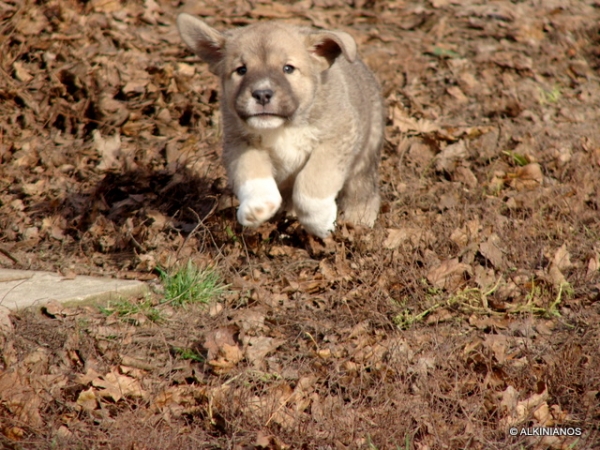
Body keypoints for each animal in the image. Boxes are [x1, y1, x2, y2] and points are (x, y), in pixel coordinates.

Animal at [177, 14, 384, 239]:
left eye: (288, 68)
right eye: (241, 70)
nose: (262, 94)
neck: (283, 128)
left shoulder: (337, 138)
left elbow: (314, 180)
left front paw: (320, 222)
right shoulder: (240, 143)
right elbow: (252, 173)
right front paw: (257, 207)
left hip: (363, 161)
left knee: (362, 192)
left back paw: (358, 221)